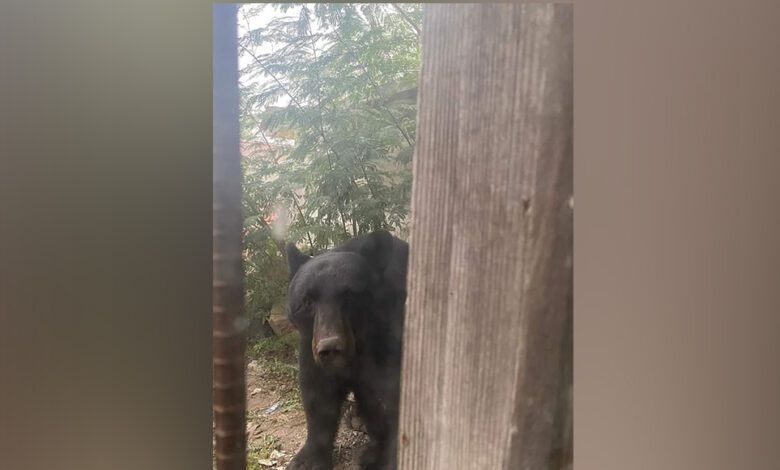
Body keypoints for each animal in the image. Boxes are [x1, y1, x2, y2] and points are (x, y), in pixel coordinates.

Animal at [285, 229, 408, 470]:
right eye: (307, 301)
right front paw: (306, 459)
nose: (331, 347)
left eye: (349, 294)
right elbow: (318, 397)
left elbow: (394, 400)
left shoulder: (389, 343)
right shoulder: (310, 345)